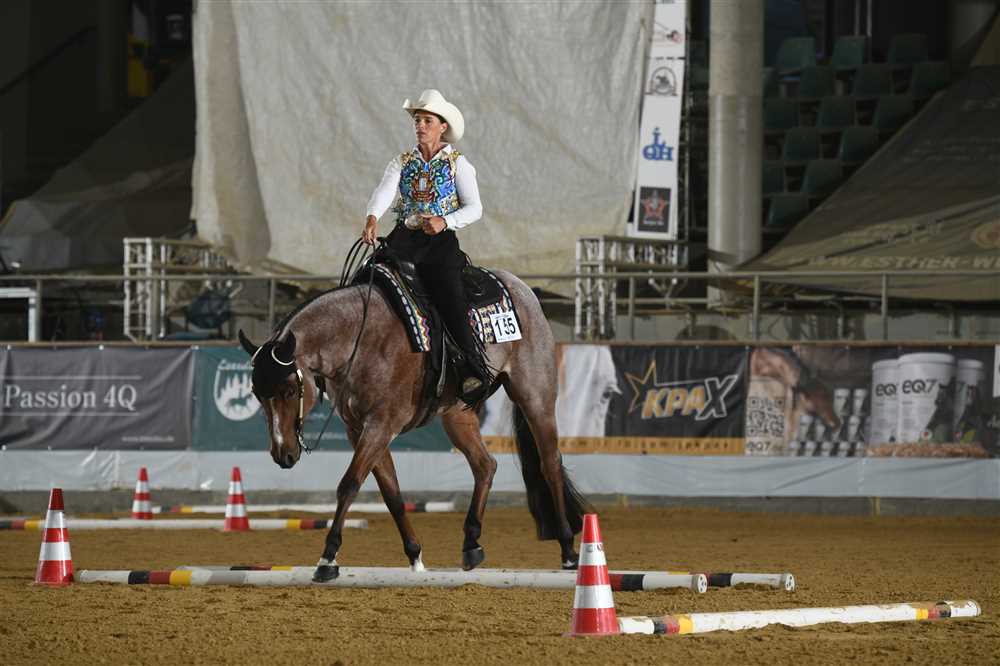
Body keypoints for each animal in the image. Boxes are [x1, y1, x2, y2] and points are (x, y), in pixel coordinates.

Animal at [238, 268, 591, 583]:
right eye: (256, 392)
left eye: (288, 390)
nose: (282, 454)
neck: (361, 339)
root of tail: (522, 289)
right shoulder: (360, 429)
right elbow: (391, 493)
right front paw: (415, 556)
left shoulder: (381, 424)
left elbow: (349, 484)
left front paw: (327, 559)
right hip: (457, 415)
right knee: (485, 465)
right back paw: (471, 544)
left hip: (535, 397)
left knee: (550, 464)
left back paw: (568, 550)